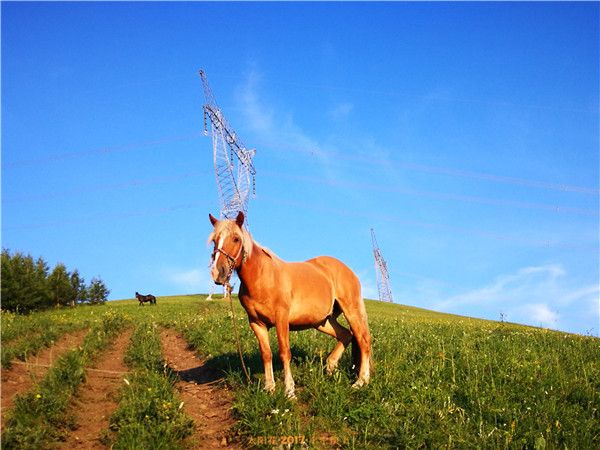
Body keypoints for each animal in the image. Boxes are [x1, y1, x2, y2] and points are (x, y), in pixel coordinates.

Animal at [209, 211, 372, 398]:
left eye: (236, 238)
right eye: (215, 240)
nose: (217, 272)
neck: (262, 278)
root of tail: (348, 270)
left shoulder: (282, 319)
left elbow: (284, 352)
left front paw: (289, 391)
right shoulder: (257, 323)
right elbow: (266, 354)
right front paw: (269, 388)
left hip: (351, 310)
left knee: (363, 341)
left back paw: (361, 381)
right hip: (322, 321)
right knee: (346, 335)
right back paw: (331, 368)